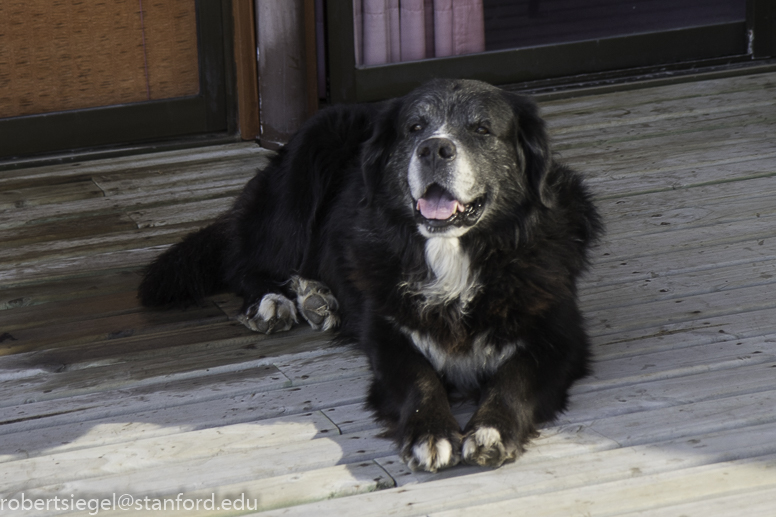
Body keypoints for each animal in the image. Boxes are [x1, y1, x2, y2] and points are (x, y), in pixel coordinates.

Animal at [138, 78, 600, 470]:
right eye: (415, 127)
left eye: (482, 129)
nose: (434, 149)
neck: (454, 258)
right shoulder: (388, 334)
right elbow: (420, 379)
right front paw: (430, 433)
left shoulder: (559, 338)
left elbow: (513, 380)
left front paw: (490, 431)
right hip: (303, 171)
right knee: (247, 262)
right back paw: (279, 301)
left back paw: (315, 298)